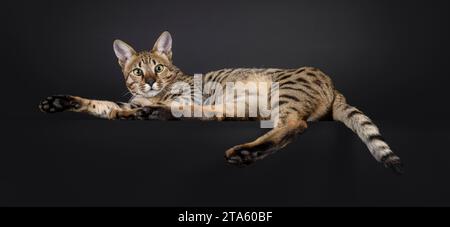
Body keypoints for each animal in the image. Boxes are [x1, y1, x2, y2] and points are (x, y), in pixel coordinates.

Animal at [39, 31, 404, 174]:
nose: (151, 81)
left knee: (293, 125)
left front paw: (154, 106)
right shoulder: (125, 103)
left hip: (284, 91)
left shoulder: (187, 92)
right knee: (210, 117)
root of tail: (333, 84)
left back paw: (245, 152)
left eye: (159, 68)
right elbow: (103, 105)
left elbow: (174, 102)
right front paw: (61, 102)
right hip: (244, 106)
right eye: (138, 71)